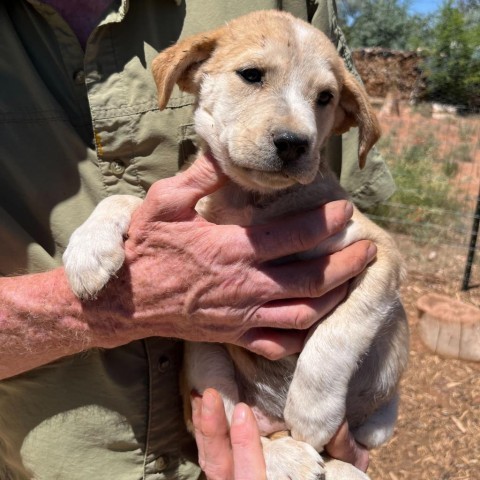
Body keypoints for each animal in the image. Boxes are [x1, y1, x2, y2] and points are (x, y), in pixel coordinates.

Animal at [63, 11, 408, 480]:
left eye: (325, 97)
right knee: (236, 424)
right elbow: (131, 200)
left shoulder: (379, 251)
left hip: (381, 418)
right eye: (251, 75)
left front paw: (312, 412)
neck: (254, 201)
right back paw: (288, 457)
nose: (294, 143)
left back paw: (335, 464)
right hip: (205, 363)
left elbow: (339, 331)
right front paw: (87, 251)